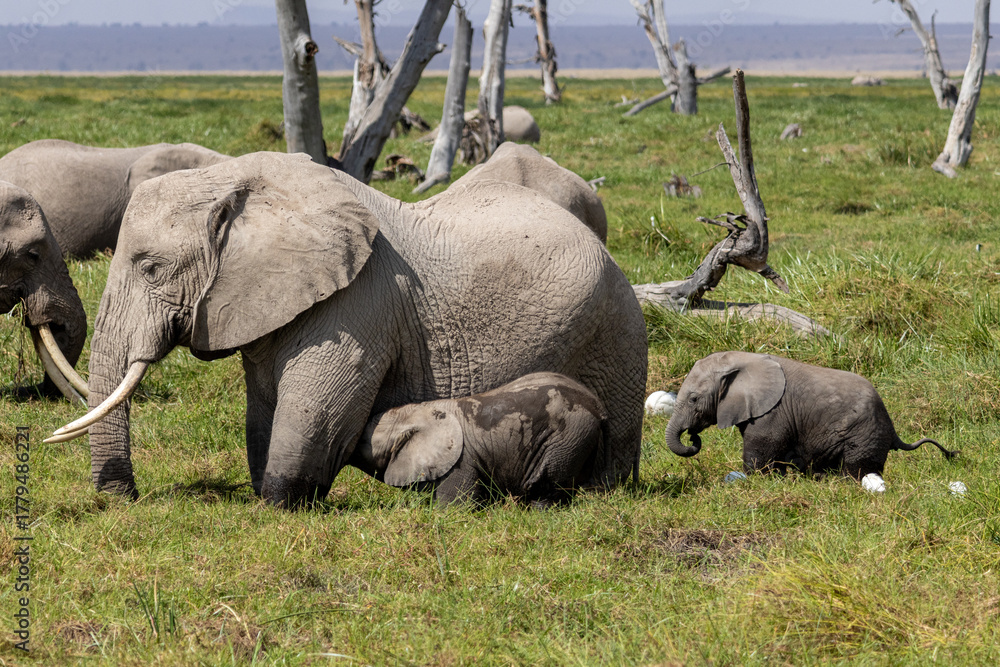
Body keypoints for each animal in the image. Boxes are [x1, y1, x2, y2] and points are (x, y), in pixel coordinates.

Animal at [352, 372, 607, 507]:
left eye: (361, 441)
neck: (418, 411)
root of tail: (598, 406)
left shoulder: (461, 463)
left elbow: (454, 508)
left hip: (569, 437)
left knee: (547, 482)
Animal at [665, 351, 957, 479]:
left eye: (694, 399)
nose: (692, 437)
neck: (741, 360)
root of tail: (894, 431)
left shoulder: (772, 413)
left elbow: (761, 449)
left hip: (864, 435)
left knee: (857, 469)